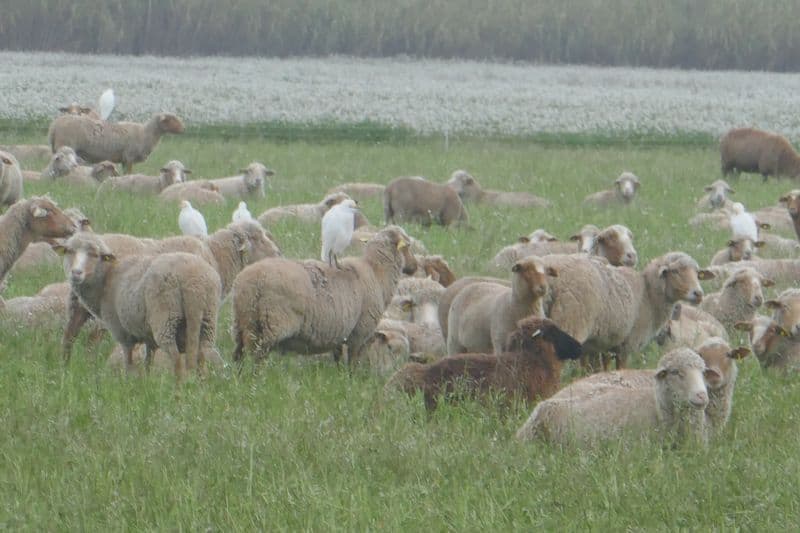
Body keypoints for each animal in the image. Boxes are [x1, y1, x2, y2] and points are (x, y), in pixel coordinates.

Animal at [48, 112, 185, 174]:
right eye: (171, 119)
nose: (184, 129)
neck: (146, 133)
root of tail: (55, 125)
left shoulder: (124, 159)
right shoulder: (129, 157)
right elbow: (129, 173)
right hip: (65, 144)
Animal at [55, 232, 221, 378]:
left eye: (95, 255)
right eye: (69, 251)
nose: (76, 273)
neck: (106, 278)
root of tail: (193, 283)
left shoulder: (123, 333)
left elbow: (129, 363)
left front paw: (130, 384)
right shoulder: (148, 337)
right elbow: (148, 362)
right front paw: (147, 384)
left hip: (165, 319)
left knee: (177, 361)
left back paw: (178, 393)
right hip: (207, 319)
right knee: (202, 359)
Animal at [231, 226, 417, 365]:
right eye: (408, 245)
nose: (414, 266)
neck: (377, 273)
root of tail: (251, 282)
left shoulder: (340, 332)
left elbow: (338, 358)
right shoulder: (359, 332)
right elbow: (353, 362)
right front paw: (351, 381)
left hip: (244, 321)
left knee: (239, 354)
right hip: (273, 324)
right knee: (257, 356)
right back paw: (256, 380)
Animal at [539, 252, 712, 370]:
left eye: (698, 273)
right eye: (675, 271)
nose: (698, 294)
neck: (648, 296)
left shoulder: (600, 344)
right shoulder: (626, 344)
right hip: (570, 324)